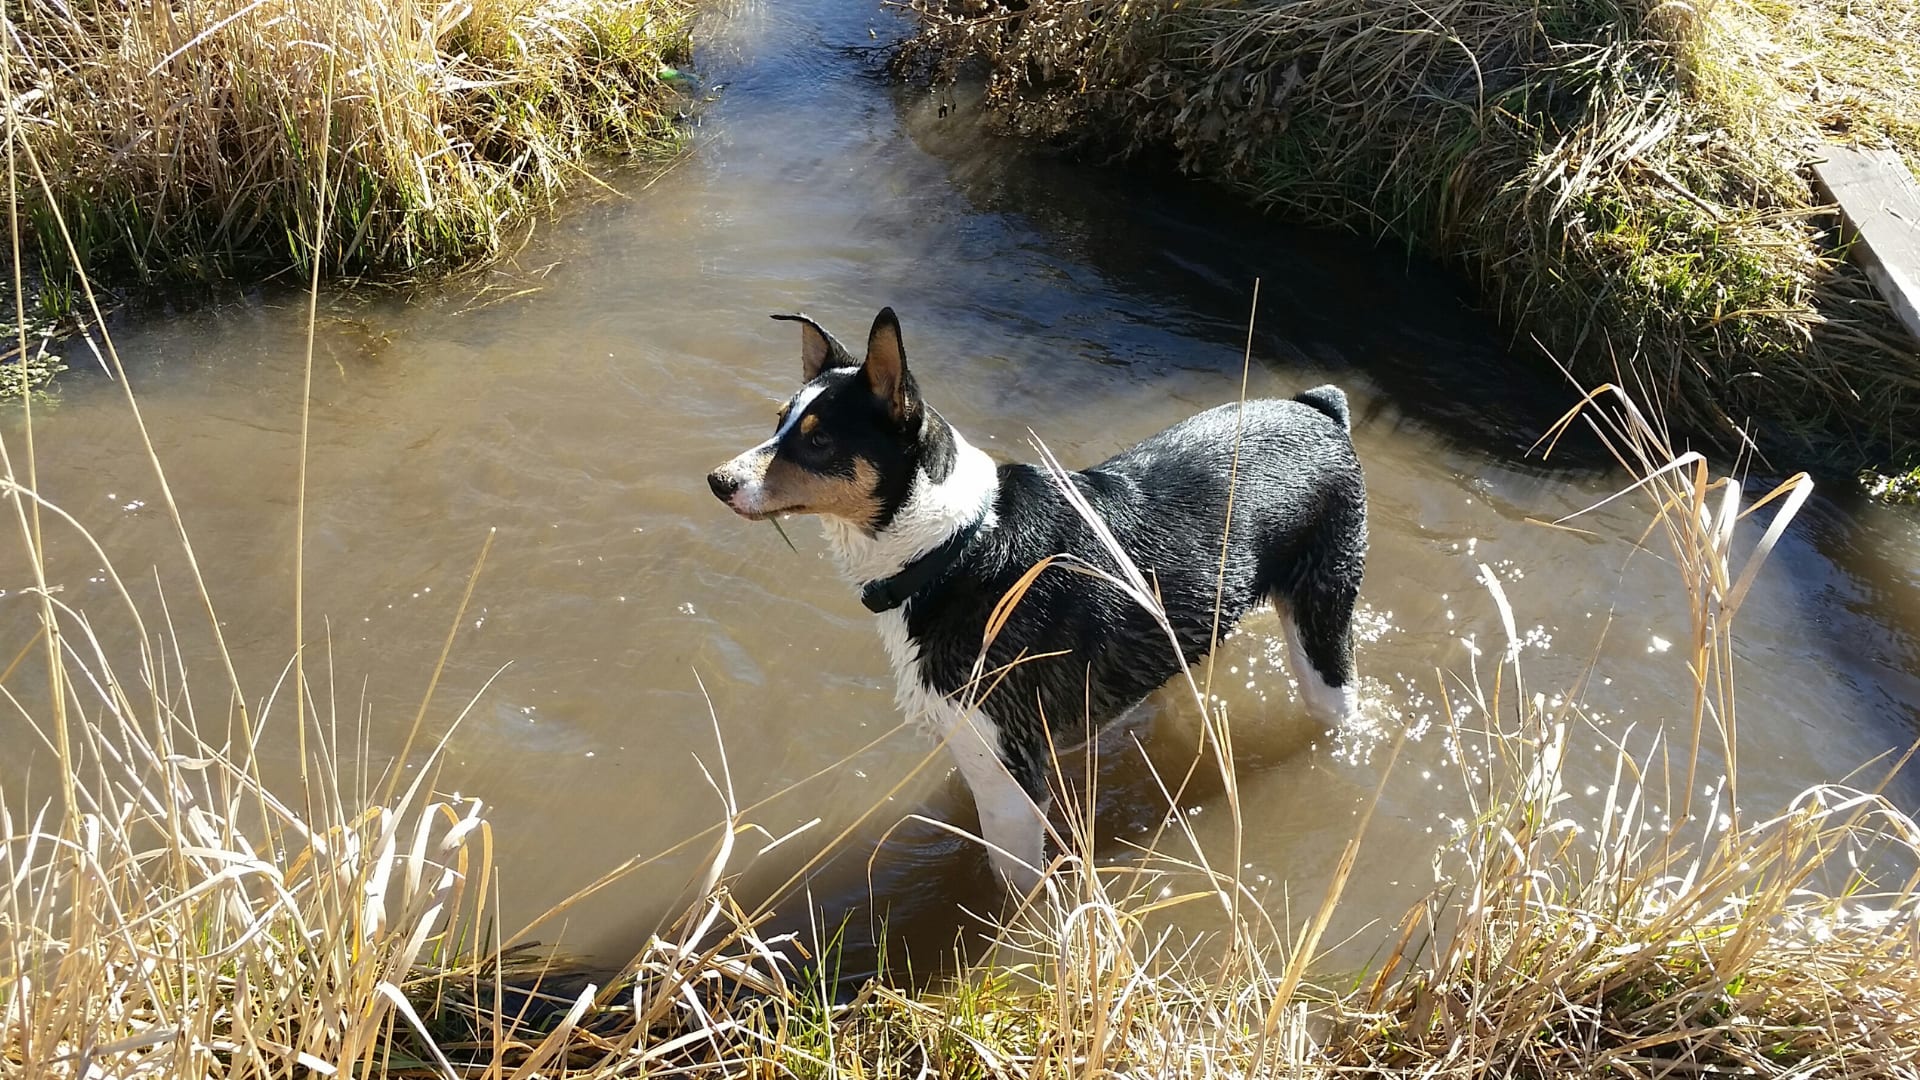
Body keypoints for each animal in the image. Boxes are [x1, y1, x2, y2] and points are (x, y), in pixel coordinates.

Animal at [710, 307, 1367, 887]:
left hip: (1323, 631)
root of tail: (1320, 410)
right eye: (779, 422)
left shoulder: (1011, 772)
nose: (718, 481)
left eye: (819, 442)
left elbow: (1013, 889)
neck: (953, 546)